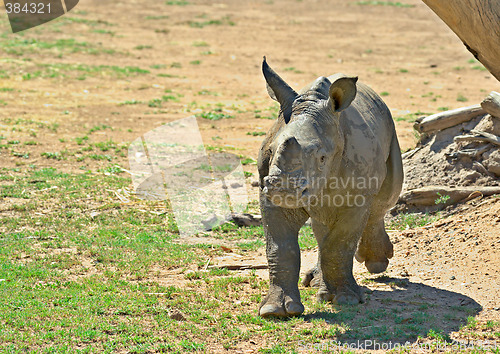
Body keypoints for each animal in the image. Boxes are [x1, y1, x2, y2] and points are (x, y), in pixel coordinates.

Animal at [258, 58, 402, 318]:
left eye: (323, 158)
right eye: (271, 151)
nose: (283, 191)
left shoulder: (357, 196)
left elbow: (340, 244)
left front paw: (346, 300)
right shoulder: (268, 189)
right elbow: (280, 247)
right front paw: (276, 310)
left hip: (389, 128)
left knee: (384, 198)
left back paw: (375, 263)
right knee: (322, 223)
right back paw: (318, 284)